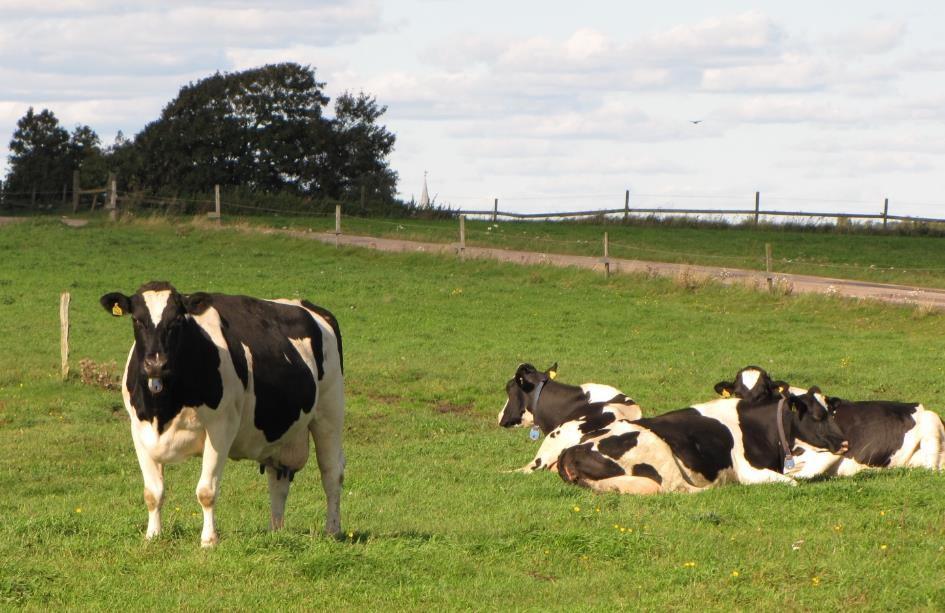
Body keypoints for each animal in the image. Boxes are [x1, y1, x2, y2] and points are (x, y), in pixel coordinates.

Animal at [101, 282, 344, 544]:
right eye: (136, 319)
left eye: (177, 319)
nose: (156, 364)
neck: (163, 409)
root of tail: (308, 306)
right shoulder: (139, 430)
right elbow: (152, 492)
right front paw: (152, 535)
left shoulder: (220, 428)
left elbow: (206, 491)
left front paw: (209, 540)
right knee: (278, 479)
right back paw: (275, 531)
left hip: (330, 412)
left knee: (332, 473)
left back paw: (332, 529)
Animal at [552, 390, 848, 494]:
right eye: (818, 416)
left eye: (833, 413)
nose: (845, 442)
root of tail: (570, 451)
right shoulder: (749, 471)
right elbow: (793, 481)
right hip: (658, 450)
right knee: (678, 489)